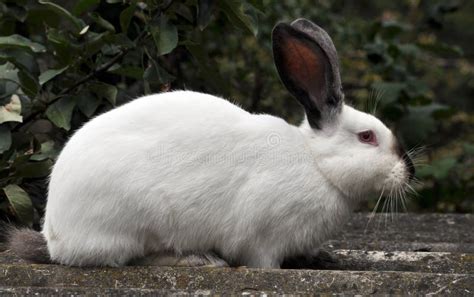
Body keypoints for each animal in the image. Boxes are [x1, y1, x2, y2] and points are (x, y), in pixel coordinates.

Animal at [8, 19, 414, 268]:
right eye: (367, 137)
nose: (408, 170)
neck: (318, 165)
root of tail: (56, 235)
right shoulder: (262, 240)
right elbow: (263, 261)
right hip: (136, 223)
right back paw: (199, 259)